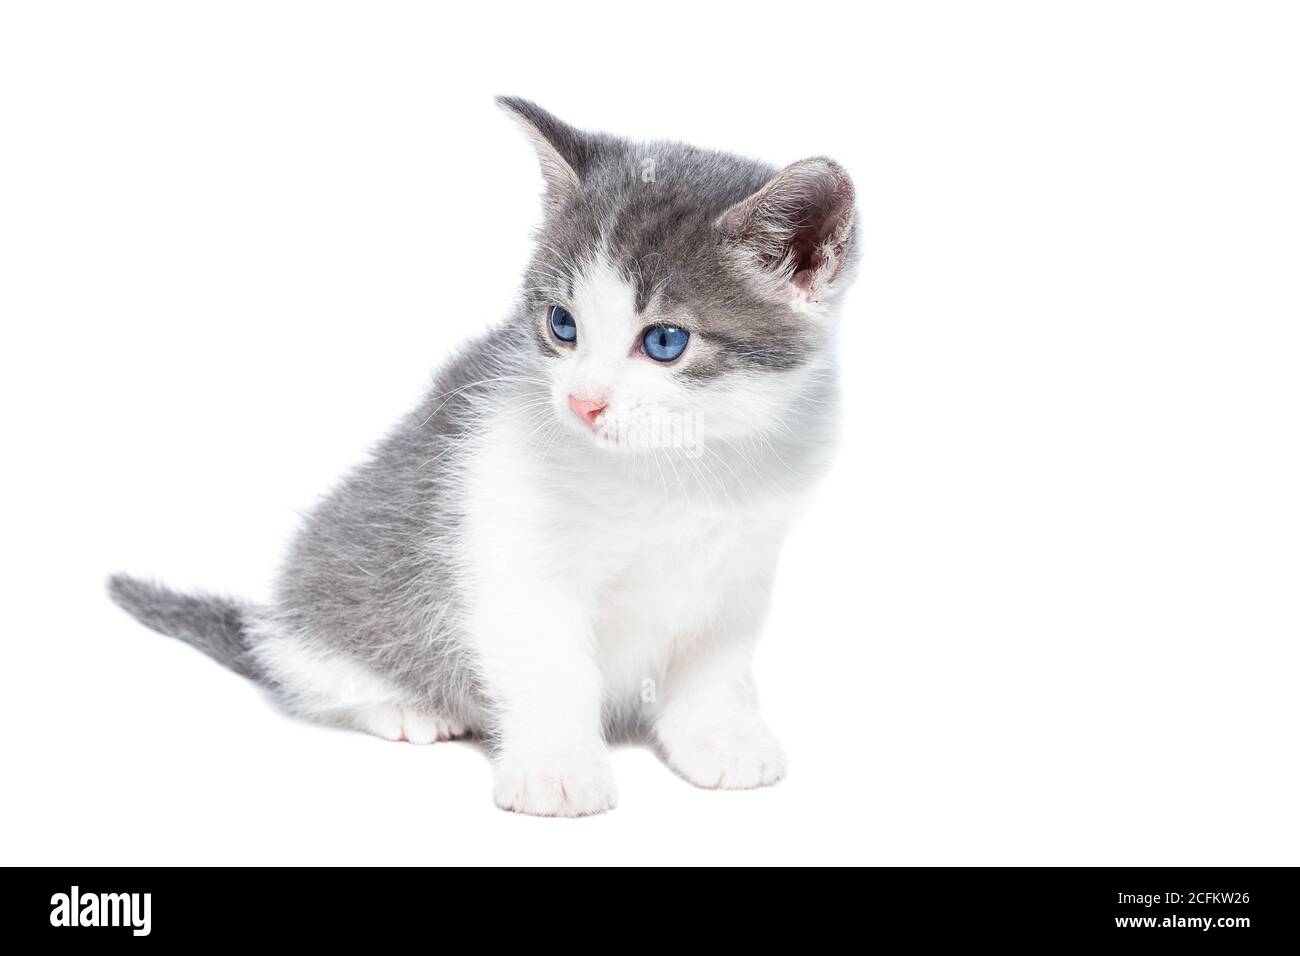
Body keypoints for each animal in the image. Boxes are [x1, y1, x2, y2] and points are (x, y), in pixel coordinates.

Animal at [111, 95, 857, 816]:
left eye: (665, 341)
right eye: (562, 325)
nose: (582, 402)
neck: (675, 468)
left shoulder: (742, 563)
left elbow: (715, 660)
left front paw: (719, 737)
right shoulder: (510, 544)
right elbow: (548, 665)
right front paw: (557, 770)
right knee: (310, 668)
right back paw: (404, 706)